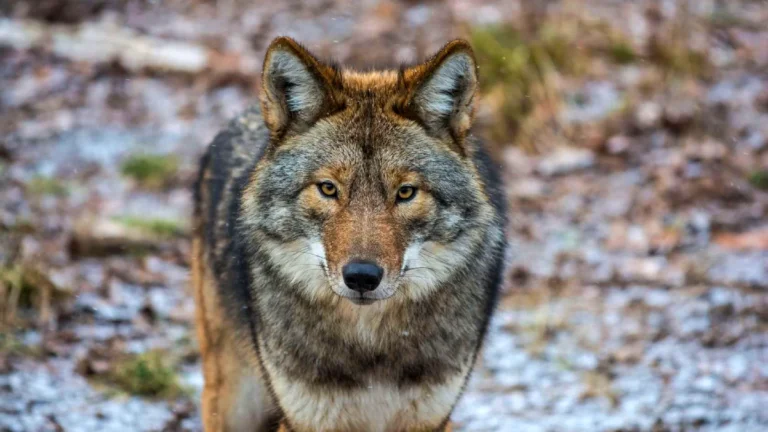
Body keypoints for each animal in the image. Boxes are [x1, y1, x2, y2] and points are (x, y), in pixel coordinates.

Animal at [192, 36, 507, 432]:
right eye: (328, 188)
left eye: (405, 193)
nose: (361, 277)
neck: (369, 345)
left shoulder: (430, 418)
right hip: (233, 402)